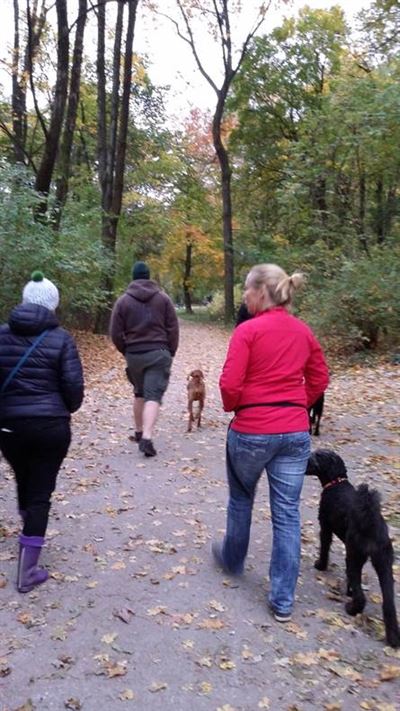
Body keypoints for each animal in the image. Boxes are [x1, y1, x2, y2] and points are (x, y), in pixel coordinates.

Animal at [306, 454, 400, 648]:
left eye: (315, 457)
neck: (336, 482)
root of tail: (371, 522)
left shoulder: (325, 527)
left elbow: (324, 547)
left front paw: (320, 565)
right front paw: (348, 591)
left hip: (354, 557)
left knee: (361, 594)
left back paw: (352, 608)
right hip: (384, 562)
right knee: (388, 603)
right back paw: (393, 638)